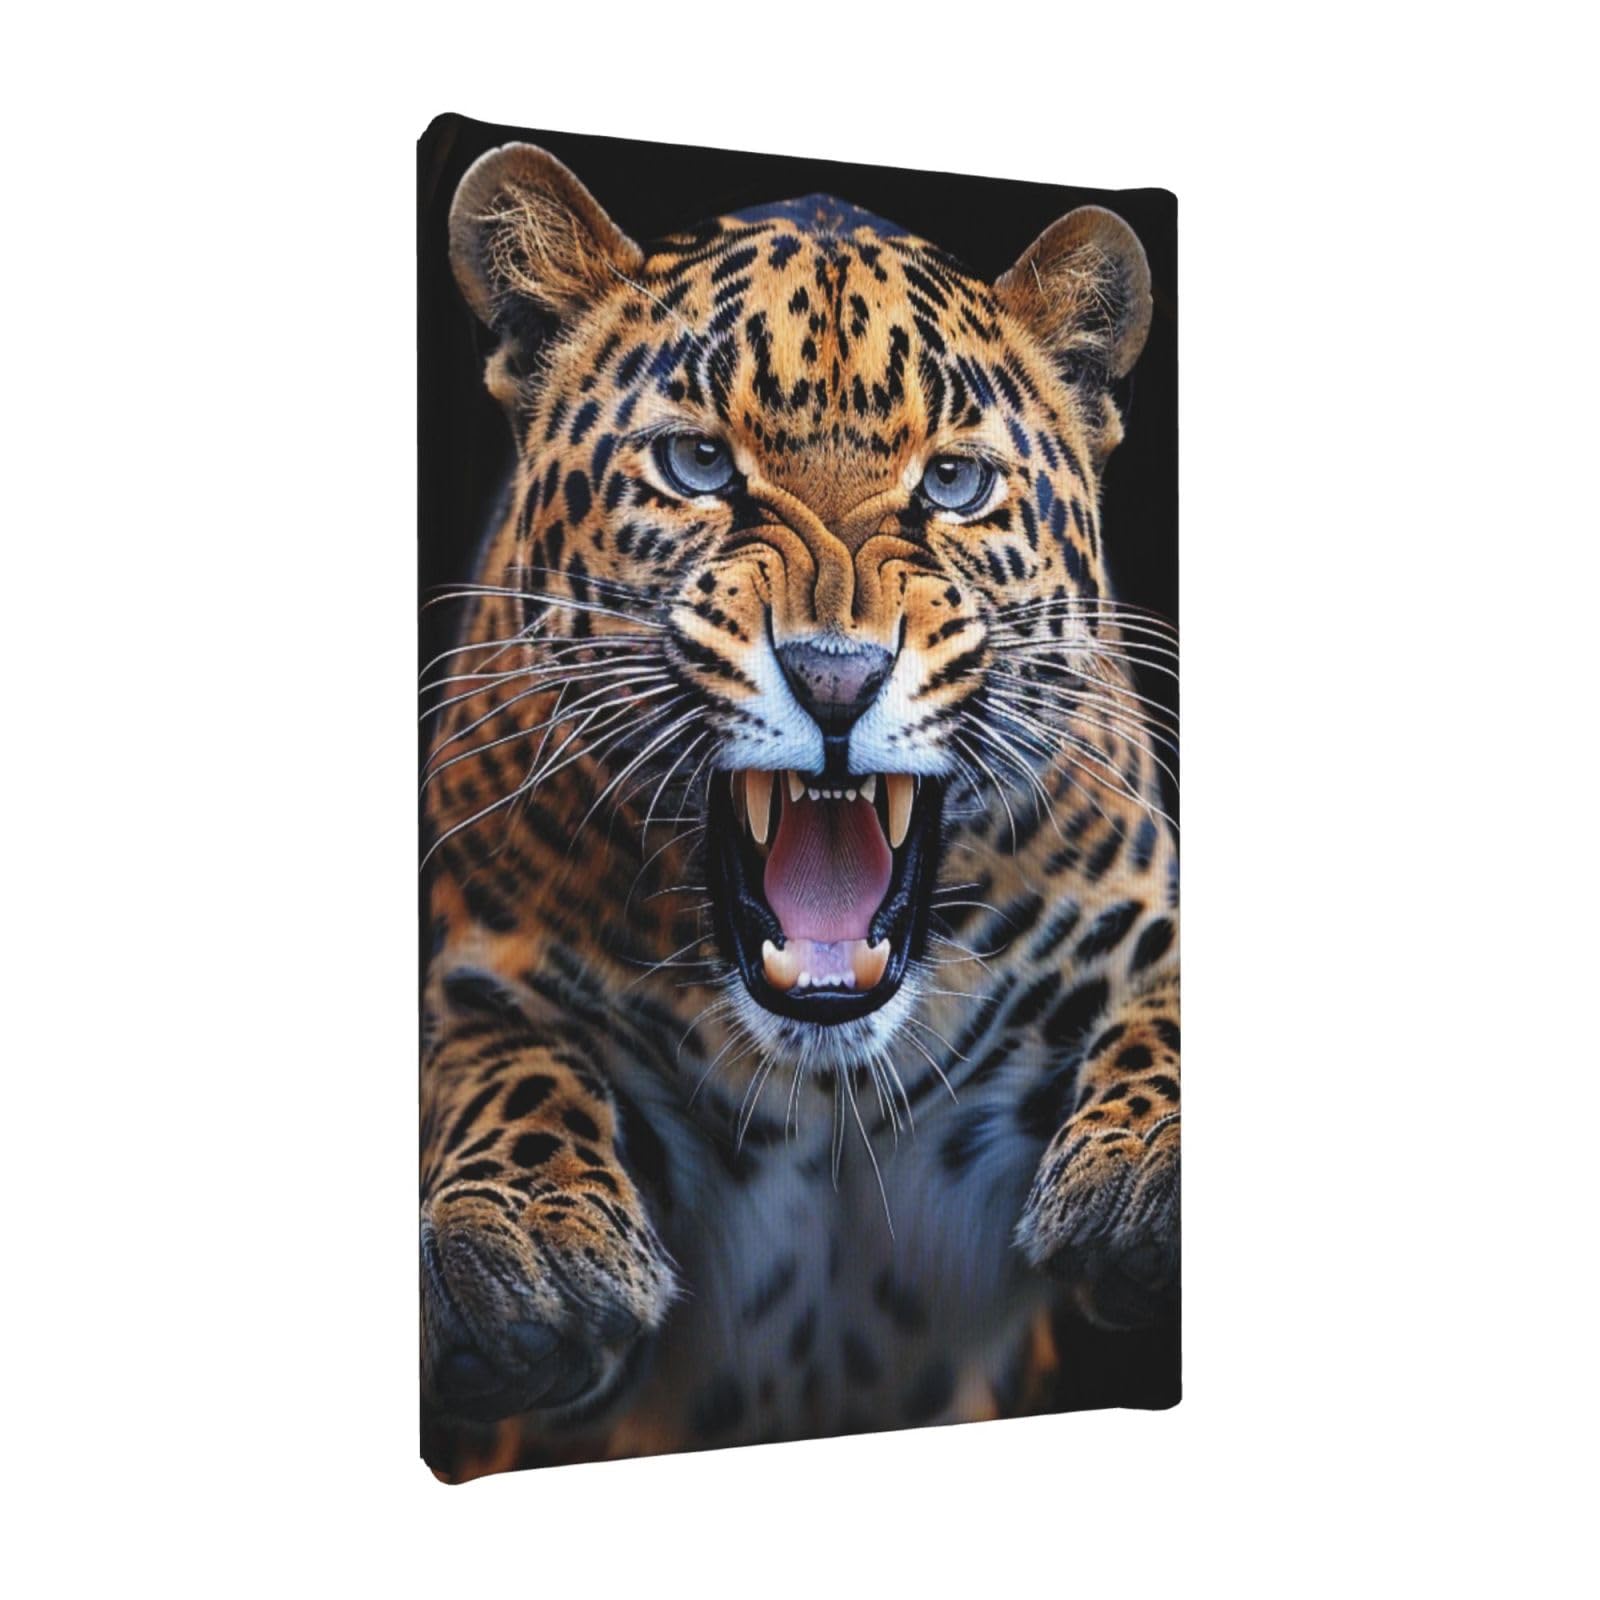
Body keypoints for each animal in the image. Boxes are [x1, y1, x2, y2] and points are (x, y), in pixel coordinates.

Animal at [420, 142, 1179, 1480]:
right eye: (698, 467)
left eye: (954, 483)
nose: (834, 674)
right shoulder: (472, 961)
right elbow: (500, 1053)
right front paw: (530, 1238)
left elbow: (1175, 1011)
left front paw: (1145, 1168)